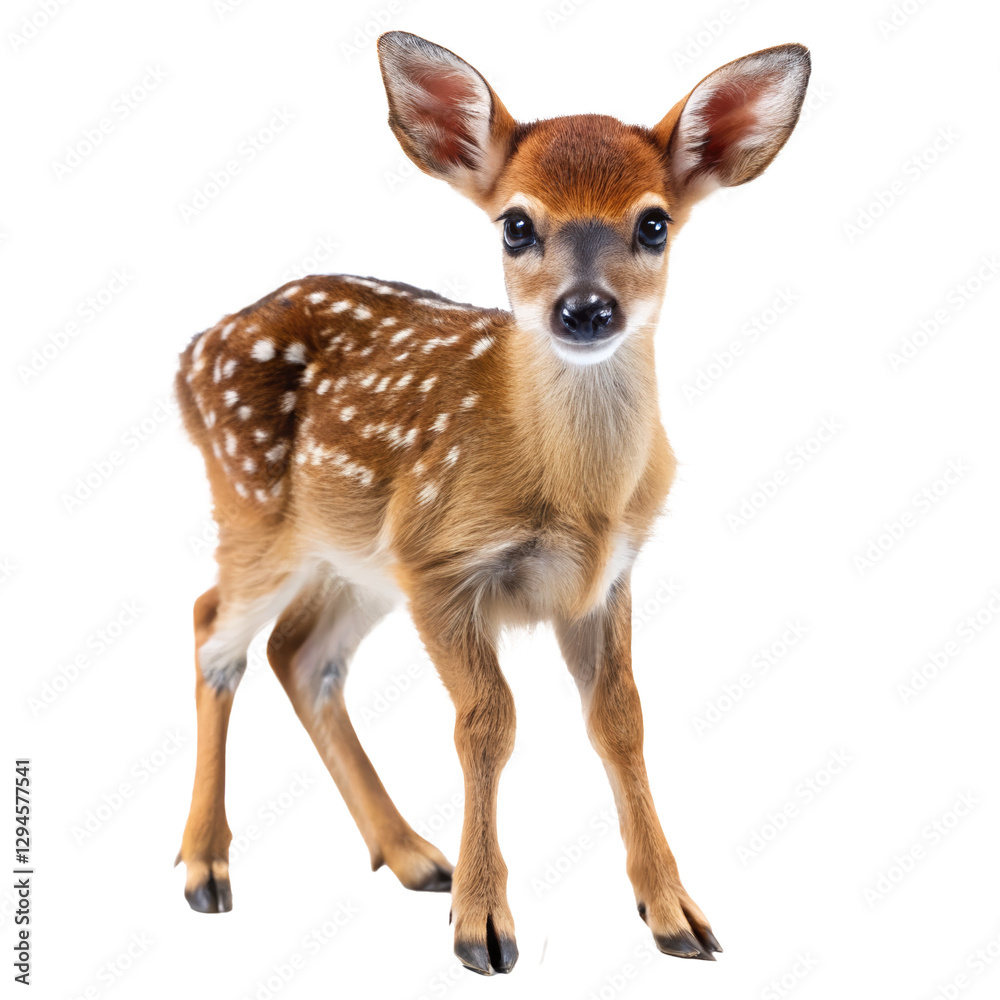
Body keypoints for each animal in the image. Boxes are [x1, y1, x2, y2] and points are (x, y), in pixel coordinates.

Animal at [174, 30, 810, 974]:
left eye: (653, 223)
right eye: (517, 225)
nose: (586, 309)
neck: (570, 495)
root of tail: (189, 356)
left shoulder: (606, 578)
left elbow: (620, 720)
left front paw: (675, 915)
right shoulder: (443, 562)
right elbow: (487, 722)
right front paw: (482, 926)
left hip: (359, 559)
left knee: (300, 652)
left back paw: (412, 855)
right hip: (255, 510)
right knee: (214, 627)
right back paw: (205, 867)